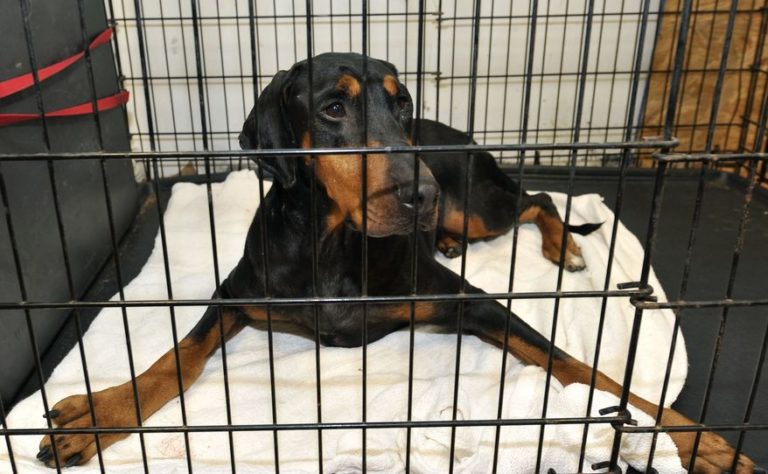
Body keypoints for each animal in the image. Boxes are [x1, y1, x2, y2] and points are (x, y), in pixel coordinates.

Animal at [39, 53, 752, 472]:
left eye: (402, 102)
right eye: (333, 107)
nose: (421, 195)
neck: (334, 245)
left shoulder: (470, 302)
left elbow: (581, 370)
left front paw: (698, 440)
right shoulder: (238, 292)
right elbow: (177, 360)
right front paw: (100, 414)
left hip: (479, 205)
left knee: (538, 199)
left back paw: (560, 246)